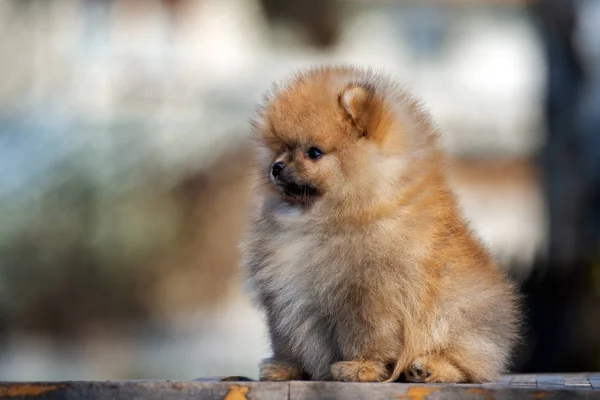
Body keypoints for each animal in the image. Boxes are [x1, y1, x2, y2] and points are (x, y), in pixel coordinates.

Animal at [241, 66, 516, 384]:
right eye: (280, 150)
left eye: (314, 152)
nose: (276, 167)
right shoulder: (282, 298)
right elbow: (286, 339)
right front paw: (285, 368)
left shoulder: (371, 295)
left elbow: (368, 337)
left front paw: (362, 368)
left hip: (456, 315)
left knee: (468, 363)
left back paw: (430, 367)